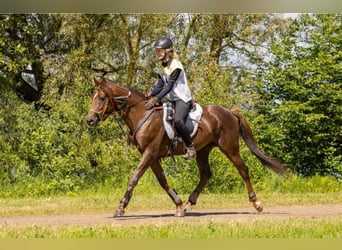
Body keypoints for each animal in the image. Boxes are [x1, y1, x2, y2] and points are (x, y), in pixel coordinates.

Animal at [85, 77, 286, 218]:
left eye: (101, 98)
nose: (90, 120)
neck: (142, 114)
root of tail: (229, 111)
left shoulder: (149, 153)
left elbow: (134, 178)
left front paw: (121, 207)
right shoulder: (152, 156)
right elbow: (162, 181)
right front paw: (179, 204)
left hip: (230, 148)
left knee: (243, 169)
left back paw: (256, 203)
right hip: (203, 150)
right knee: (206, 174)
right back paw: (190, 203)